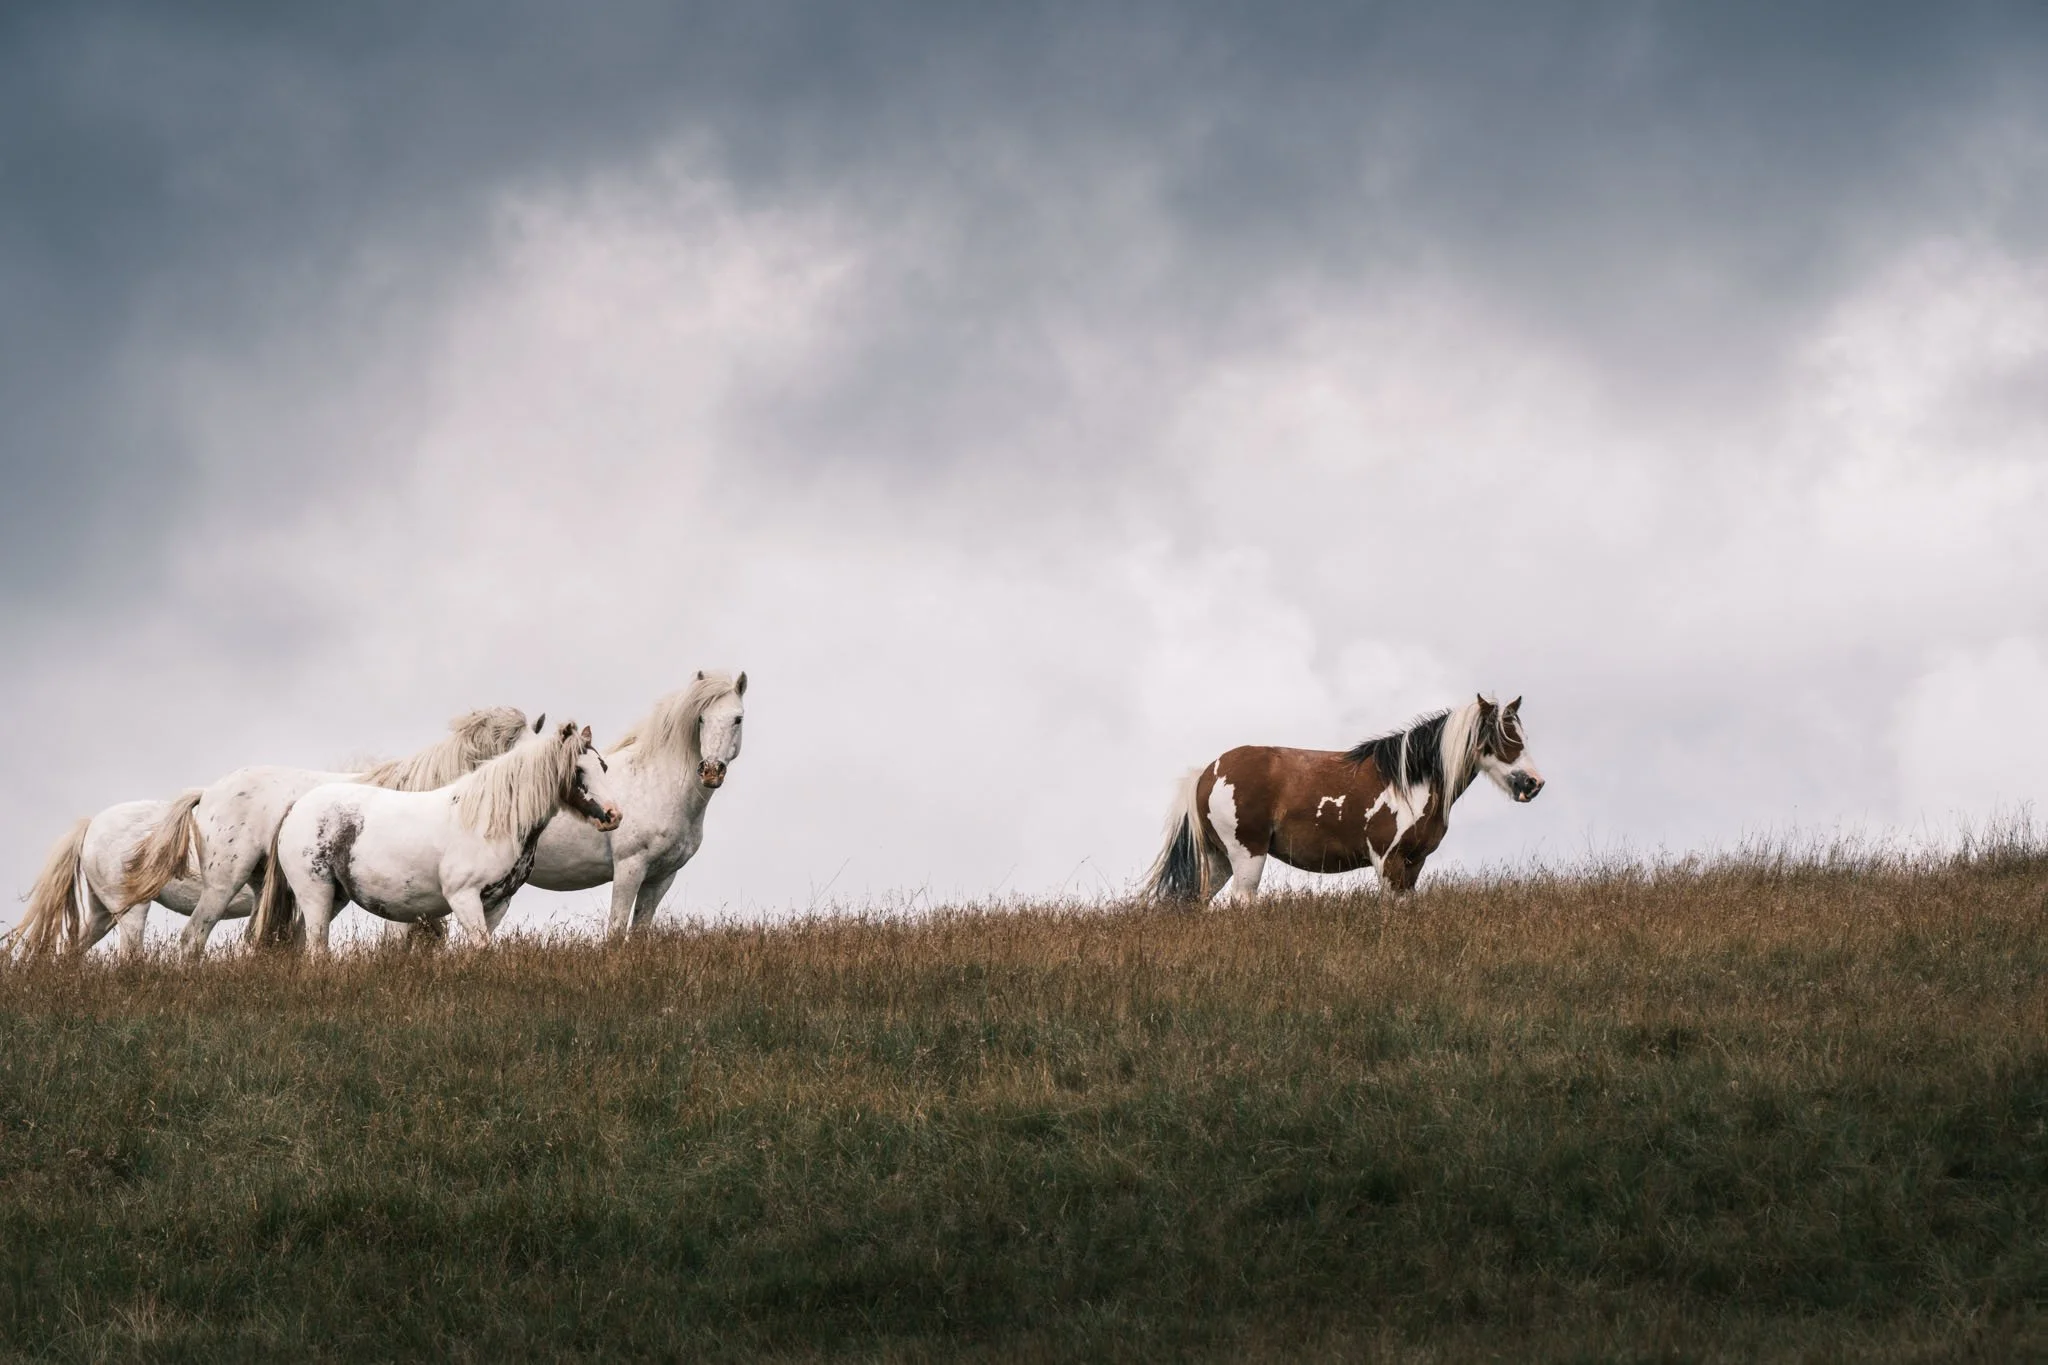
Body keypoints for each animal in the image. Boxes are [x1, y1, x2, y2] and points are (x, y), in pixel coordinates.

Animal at [252, 721, 621, 954]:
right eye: (578, 770)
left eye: (603, 767)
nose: (614, 815)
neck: (490, 821)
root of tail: (296, 807)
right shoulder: (463, 898)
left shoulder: (496, 905)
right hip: (316, 894)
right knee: (316, 950)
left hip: (334, 897)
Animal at [520, 669, 746, 938]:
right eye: (700, 718)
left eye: (738, 719)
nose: (711, 770)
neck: (656, 782)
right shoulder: (630, 867)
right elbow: (616, 930)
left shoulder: (661, 877)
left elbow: (640, 929)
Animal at [1142, 694, 1545, 903]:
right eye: (1505, 739)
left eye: (1522, 737)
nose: (1534, 783)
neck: (1410, 781)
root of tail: (1207, 773)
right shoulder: (1388, 861)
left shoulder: (1413, 864)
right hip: (1247, 855)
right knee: (1242, 900)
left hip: (1218, 860)